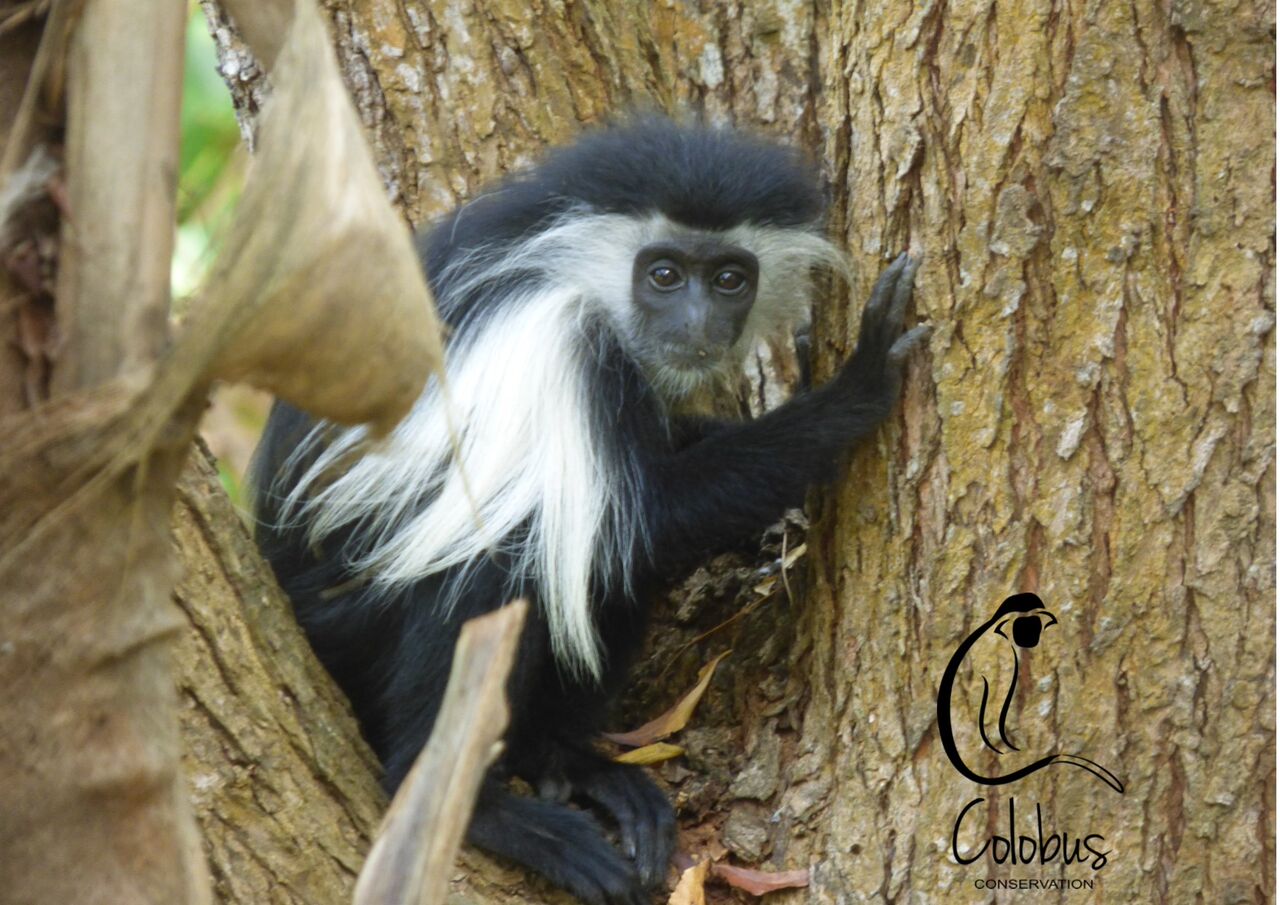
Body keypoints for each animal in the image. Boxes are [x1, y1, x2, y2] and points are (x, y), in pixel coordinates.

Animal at [250, 117, 929, 905]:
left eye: (729, 278)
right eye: (664, 274)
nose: (697, 323)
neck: (566, 261)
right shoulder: (553, 343)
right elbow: (643, 517)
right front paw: (857, 384)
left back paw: (571, 764)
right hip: (343, 622)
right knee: (498, 557)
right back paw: (478, 808)